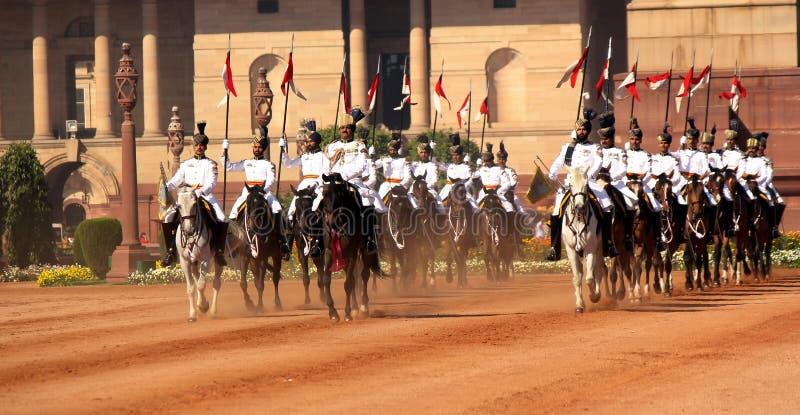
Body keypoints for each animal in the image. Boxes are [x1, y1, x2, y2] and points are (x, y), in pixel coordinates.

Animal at [174, 187, 223, 324]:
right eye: (179, 206)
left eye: (194, 204)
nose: (189, 230)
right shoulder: (185, 261)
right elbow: (191, 288)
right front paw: (193, 314)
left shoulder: (206, 259)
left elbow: (201, 285)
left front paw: (203, 306)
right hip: (194, 261)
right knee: (197, 278)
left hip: (217, 259)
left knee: (216, 282)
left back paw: (212, 310)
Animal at [233, 184, 286, 314]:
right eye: (248, 201)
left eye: (262, 203)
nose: (252, 225)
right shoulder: (244, 256)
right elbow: (244, 283)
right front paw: (249, 304)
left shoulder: (263, 257)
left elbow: (261, 284)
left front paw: (259, 306)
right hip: (253, 260)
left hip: (276, 255)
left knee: (275, 278)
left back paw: (278, 303)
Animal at [560, 166, 604, 312]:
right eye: (571, 185)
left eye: (586, 185)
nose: (579, 207)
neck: (579, 219)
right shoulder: (571, 250)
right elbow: (577, 278)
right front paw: (580, 304)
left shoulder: (590, 249)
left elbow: (589, 278)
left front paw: (593, 296)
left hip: (599, 248)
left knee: (598, 271)